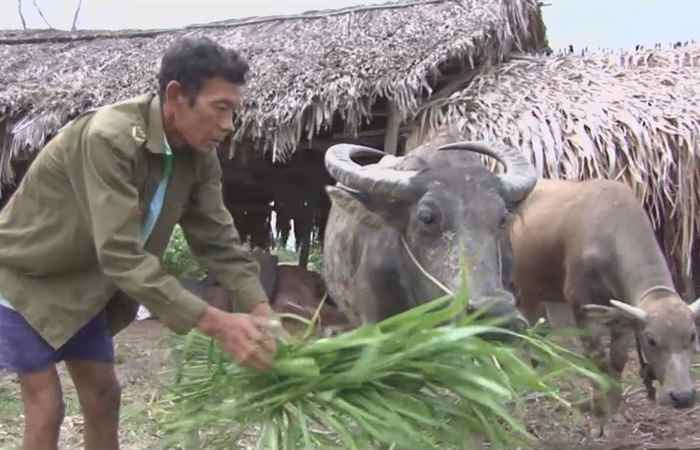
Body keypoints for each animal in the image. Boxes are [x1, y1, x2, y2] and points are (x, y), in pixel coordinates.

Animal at [508, 178, 700, 436]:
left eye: (692, 335)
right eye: (651, 340)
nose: (683, 396)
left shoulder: (622, 316)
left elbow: (618, 359)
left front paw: (616, 413)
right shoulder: (582, 308)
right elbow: (597, 360)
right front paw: (600, 419)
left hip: (533, 288)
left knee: (535, 329)